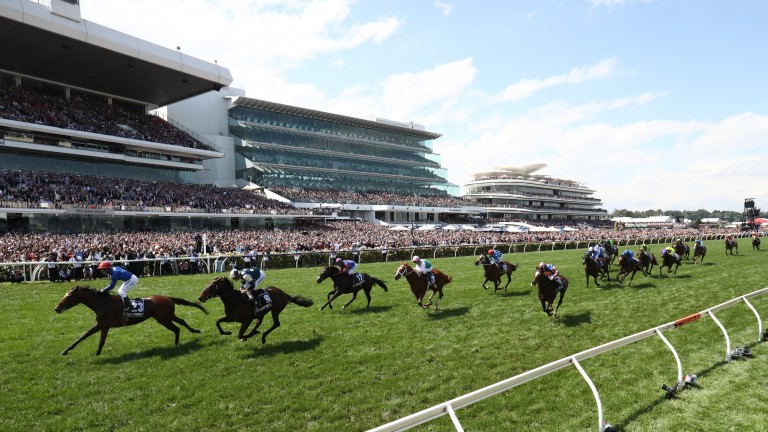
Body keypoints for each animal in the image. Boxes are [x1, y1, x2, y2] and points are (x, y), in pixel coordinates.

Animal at [53, 286, 210, 354]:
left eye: (69, 297)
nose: (56, 308)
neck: (102, 303)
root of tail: (168, 297)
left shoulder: (100, 324)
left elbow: (83, 336)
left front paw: (65, 351)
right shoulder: (105, 326)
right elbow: (102, 341)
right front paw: (97, 354)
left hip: (164, 319)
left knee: (177, 328)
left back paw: (177, 343)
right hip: (166, 317)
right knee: (181, 322)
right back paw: (192, 333)